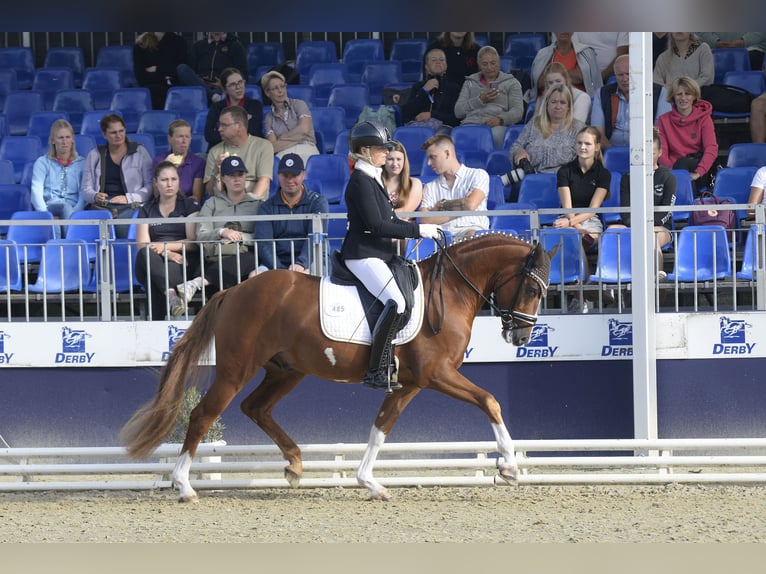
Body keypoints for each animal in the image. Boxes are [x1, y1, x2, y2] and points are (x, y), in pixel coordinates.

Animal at [120, 234, 560, 504]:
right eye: (532, 289)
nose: (521, 335)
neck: (449, 290)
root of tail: (233, 290)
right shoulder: (436, 375)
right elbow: (490, 401)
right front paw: (509, 467)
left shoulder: (409, 384)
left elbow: (381, 428)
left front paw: (370, 482)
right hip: (236, 369)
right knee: (202, 415)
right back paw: (184, 486)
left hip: (286, 370)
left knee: (255, 408)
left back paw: (295, 464)